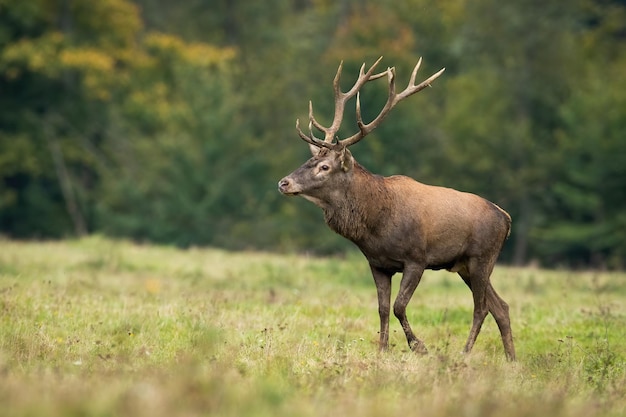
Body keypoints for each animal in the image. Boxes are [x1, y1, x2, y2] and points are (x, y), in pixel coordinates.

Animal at [276, 56, 516, 360]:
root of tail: (506, 218)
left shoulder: (417, 258)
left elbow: (398, 306)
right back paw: (512, 360)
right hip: (465, 265)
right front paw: (382, 350)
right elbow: (381, 308)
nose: (284, 183)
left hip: (482, 257)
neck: (376, 224)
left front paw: (419, 346)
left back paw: (464, 353)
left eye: (324, 167)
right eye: (310, 161)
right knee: (501, 307)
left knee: (481, 307)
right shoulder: (378, 264)